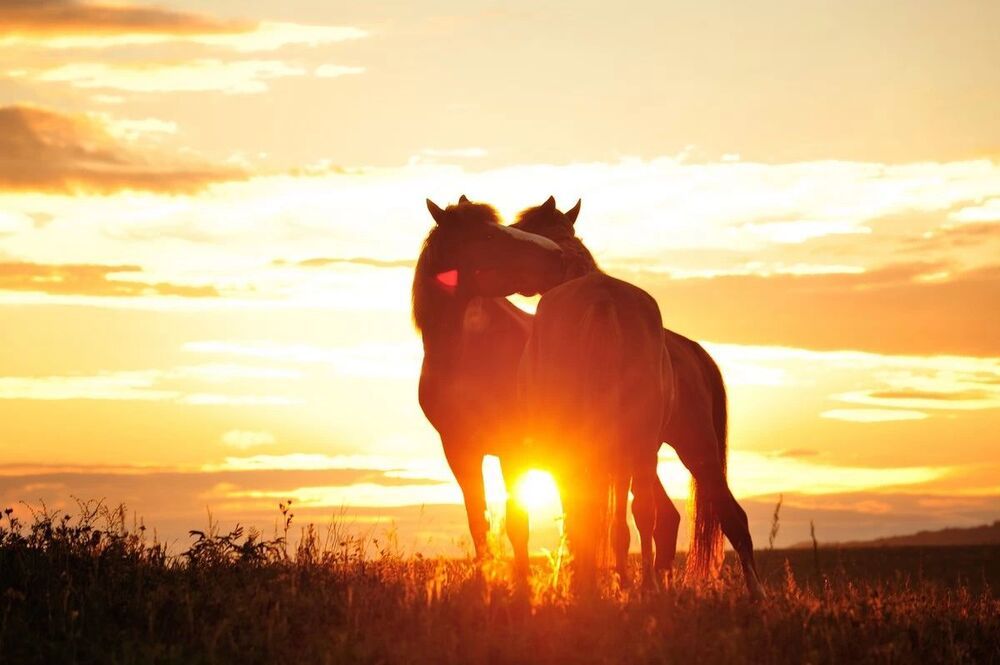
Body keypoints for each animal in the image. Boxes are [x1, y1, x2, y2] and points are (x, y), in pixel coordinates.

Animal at [412, 196, 564, 578]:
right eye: (486, 237)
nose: (557, 255)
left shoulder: (515, 450)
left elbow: (518, 521)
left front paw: (522, 584)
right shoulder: (460, 451)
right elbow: (478, 522)